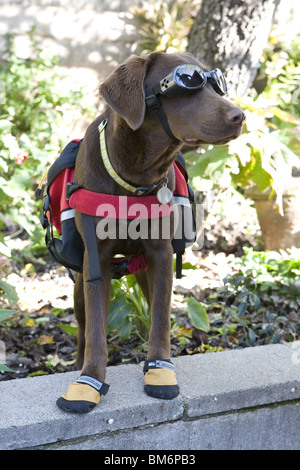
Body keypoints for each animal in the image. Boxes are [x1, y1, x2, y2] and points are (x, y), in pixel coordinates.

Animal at [55, 51, 244, 412]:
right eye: (187, 82)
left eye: (216, 84)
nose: (240, 116)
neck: (136, 176)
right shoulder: (96, 259)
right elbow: (97, 329)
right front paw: (89, 381)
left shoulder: (161, 253)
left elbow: (160, 318)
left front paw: (159, 369)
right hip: (79, 284)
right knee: (84, 327)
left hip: (146, 269)